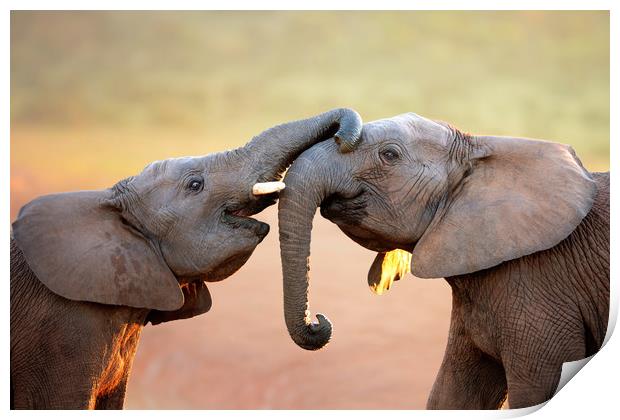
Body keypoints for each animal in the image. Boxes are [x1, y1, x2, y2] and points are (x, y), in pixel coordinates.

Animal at [278, 113, 612, 408]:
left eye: (389, 155)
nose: (319, 322)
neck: (480, 150)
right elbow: (453, 394)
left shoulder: (541, 288)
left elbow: (534, 391)